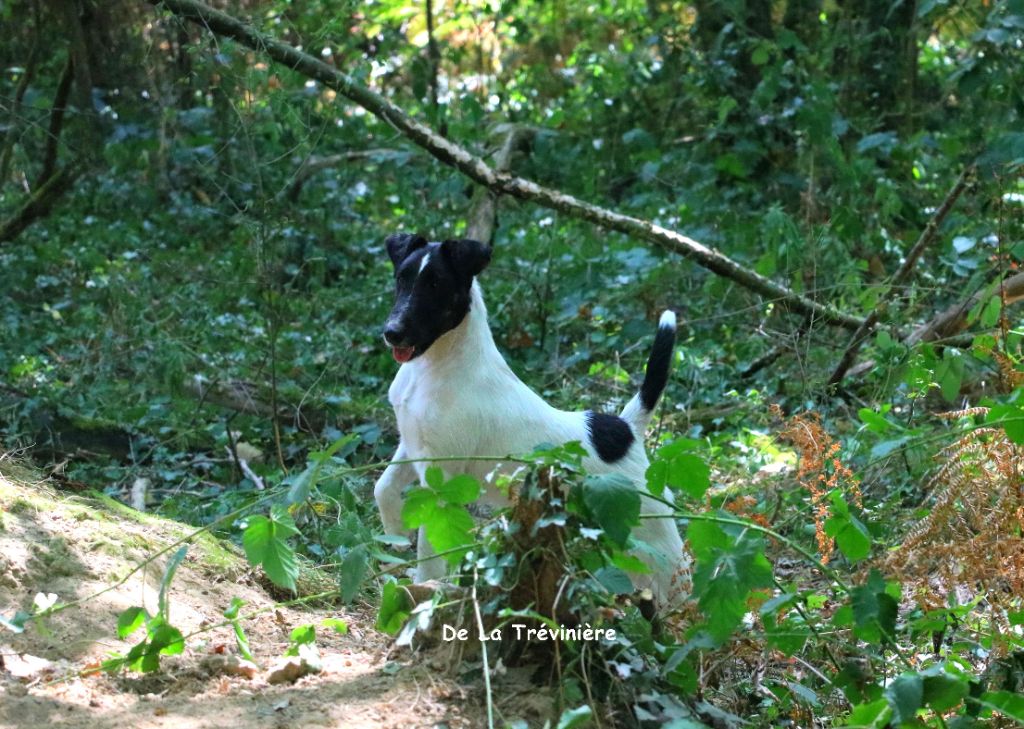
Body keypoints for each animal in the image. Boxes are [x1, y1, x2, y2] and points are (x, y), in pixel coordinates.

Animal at [372, 234, 692, 610]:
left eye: (436, 285)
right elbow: (383, 489)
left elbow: (429, 546)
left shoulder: (441, 473)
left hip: (655, 537)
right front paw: (394, 539)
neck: (437, 366)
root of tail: (627, 428)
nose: (392, 333)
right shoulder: (411, 447)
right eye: (402, 278)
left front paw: (424, 589)